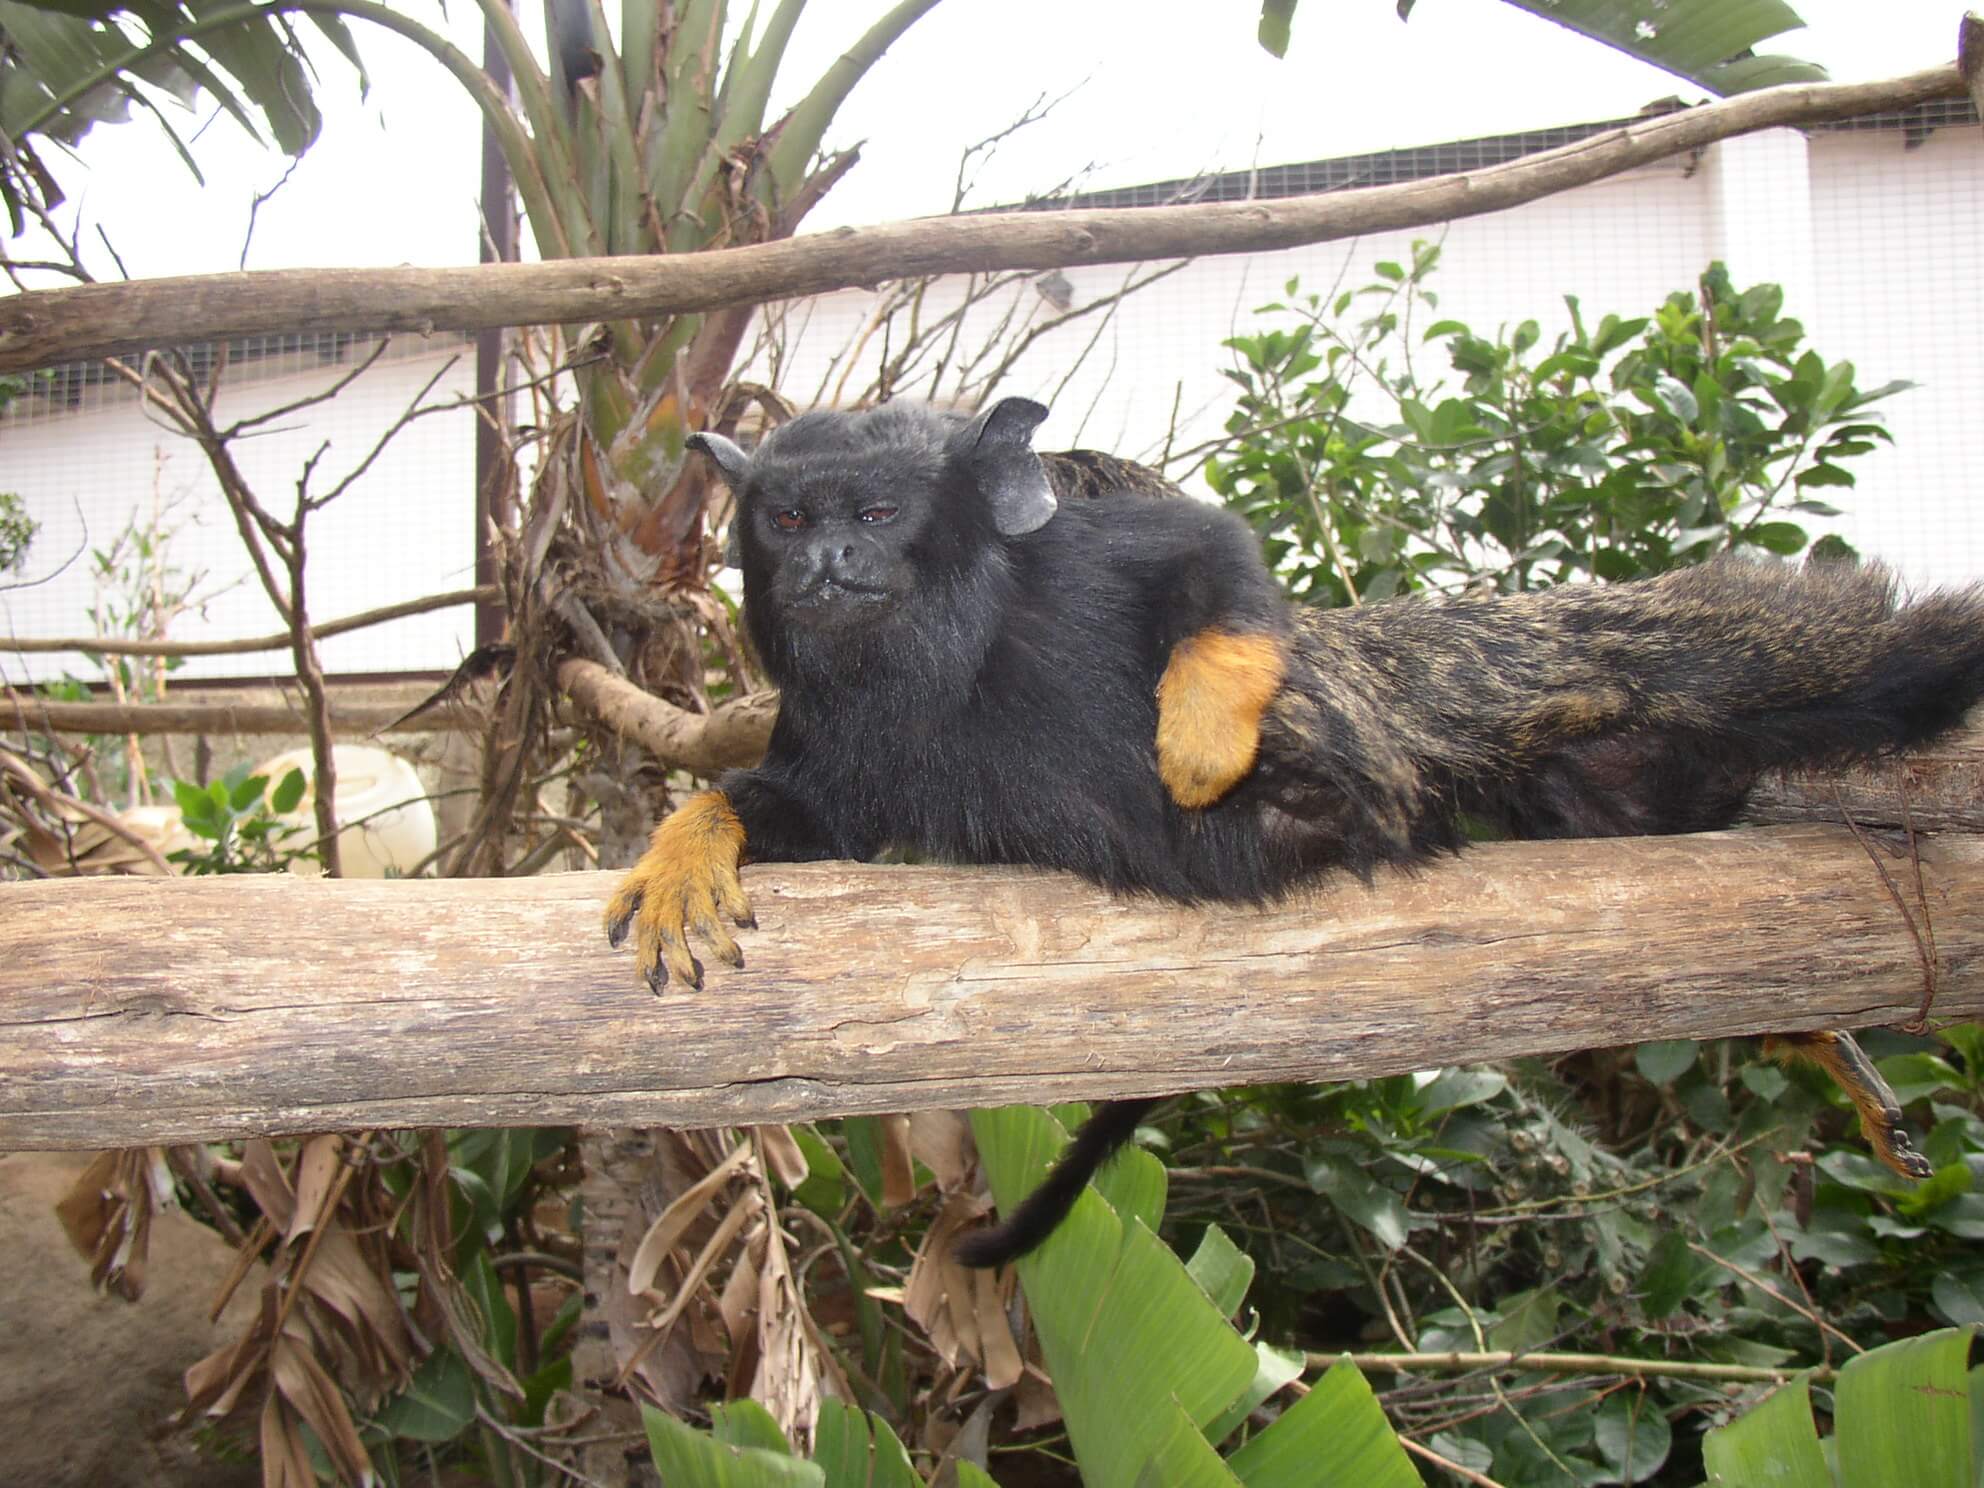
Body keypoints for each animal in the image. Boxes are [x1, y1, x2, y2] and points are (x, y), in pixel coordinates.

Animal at [602, 396, 1984, 1269]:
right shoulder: (843, 739)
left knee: (1824, 655)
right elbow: (793, 814)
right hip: (1585, 771)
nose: (827, 561)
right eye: (787, 521)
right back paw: (1822, 1043)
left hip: (1535, 668)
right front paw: (687, 852)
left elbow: (1217, 563)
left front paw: (1211, 729)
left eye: (878, 515)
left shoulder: (1087, 559)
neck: (941, 656)